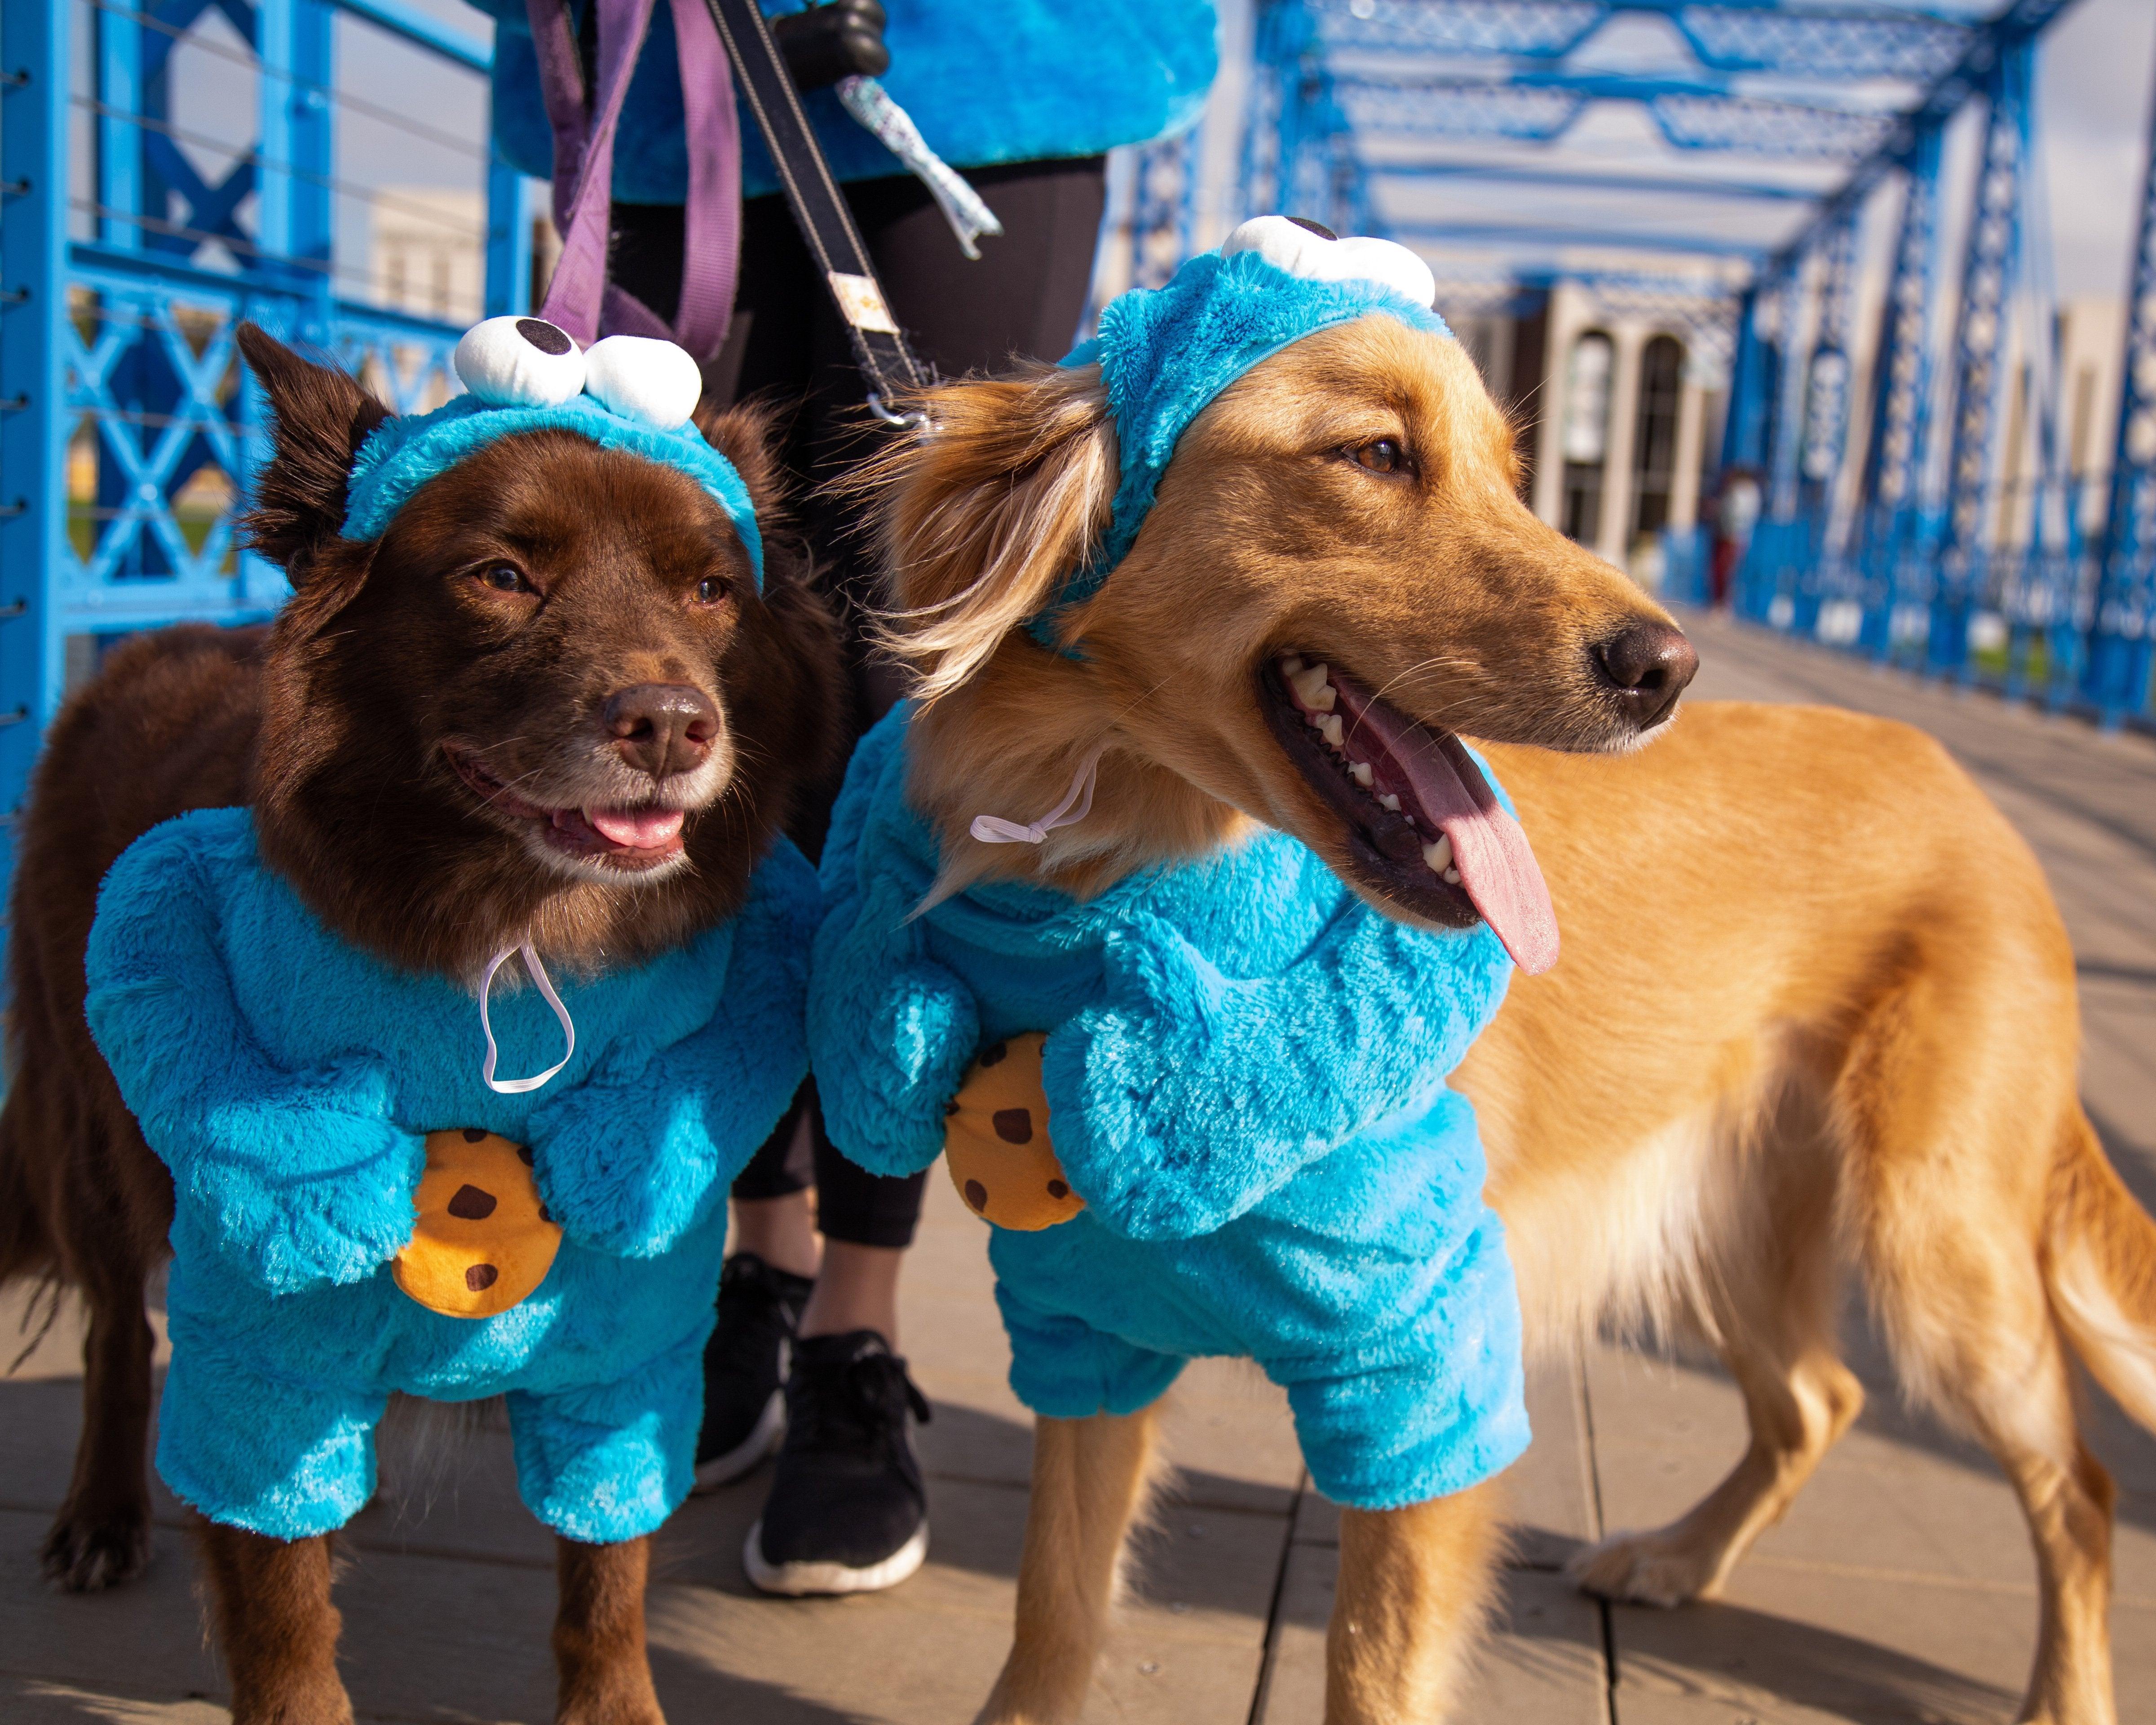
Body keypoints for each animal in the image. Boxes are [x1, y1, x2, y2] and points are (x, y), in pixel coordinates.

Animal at [0, 327, 845, 1725]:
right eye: (501, 576)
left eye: (714, 588)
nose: (673, 726)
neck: (517, 937)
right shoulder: (260, 1331)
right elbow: (280, 1604)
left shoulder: (630, 1332)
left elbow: (607, 1576)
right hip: (105, 1130)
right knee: (119, 1327)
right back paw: (100, 1515)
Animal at [853, 313, 2156, 1725]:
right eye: (1376, 453)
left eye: (1513, 475)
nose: (1667, 668)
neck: (1133, 893)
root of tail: (1967, 790)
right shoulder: (1088, 1322)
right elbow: (1054, 1610)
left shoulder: (1428, 1364)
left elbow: (1372, 1664)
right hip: (1728, 1216)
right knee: (1819, 1397)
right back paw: (1677, 1556)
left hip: (1934, 1242)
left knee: (2077, 1485)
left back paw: (2063, 1692)